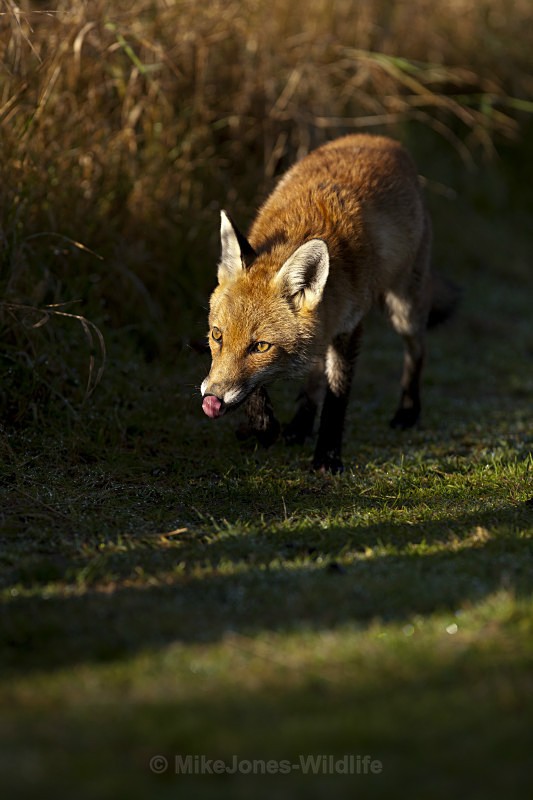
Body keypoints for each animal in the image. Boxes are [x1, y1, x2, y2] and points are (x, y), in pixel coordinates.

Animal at [201, 134, 457, 472]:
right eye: (217, 336)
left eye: (261, 347)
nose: (212, 398)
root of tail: (381, 140)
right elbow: (261, 388)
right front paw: (262, 427)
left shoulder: (349, 327)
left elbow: (337, 398)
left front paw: (327, 456)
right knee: (314, 374)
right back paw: (299, 425)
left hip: (404, 310)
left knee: (417, 352)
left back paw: (408, 411)